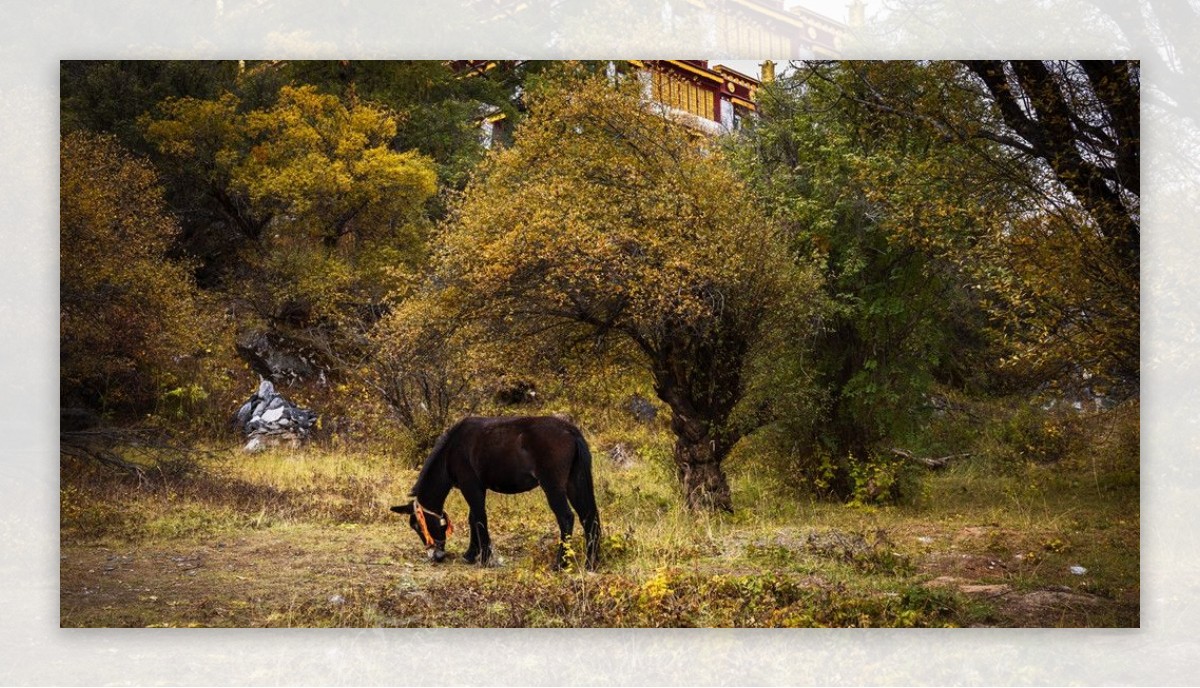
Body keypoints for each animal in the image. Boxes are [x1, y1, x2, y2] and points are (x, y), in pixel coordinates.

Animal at [391, 413, 600, 569]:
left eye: (417, 525)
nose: (436, 555)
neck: (451, 450)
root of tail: (570, 431)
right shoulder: (477, 487)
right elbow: (473, 518)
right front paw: (471, 554)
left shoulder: (470, 486)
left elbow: (479, 518)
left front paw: (484, 558)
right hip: (574, 482)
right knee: (589, 517)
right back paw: (590, 563)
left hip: (553, 486)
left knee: (566, 517)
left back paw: (560, 564)